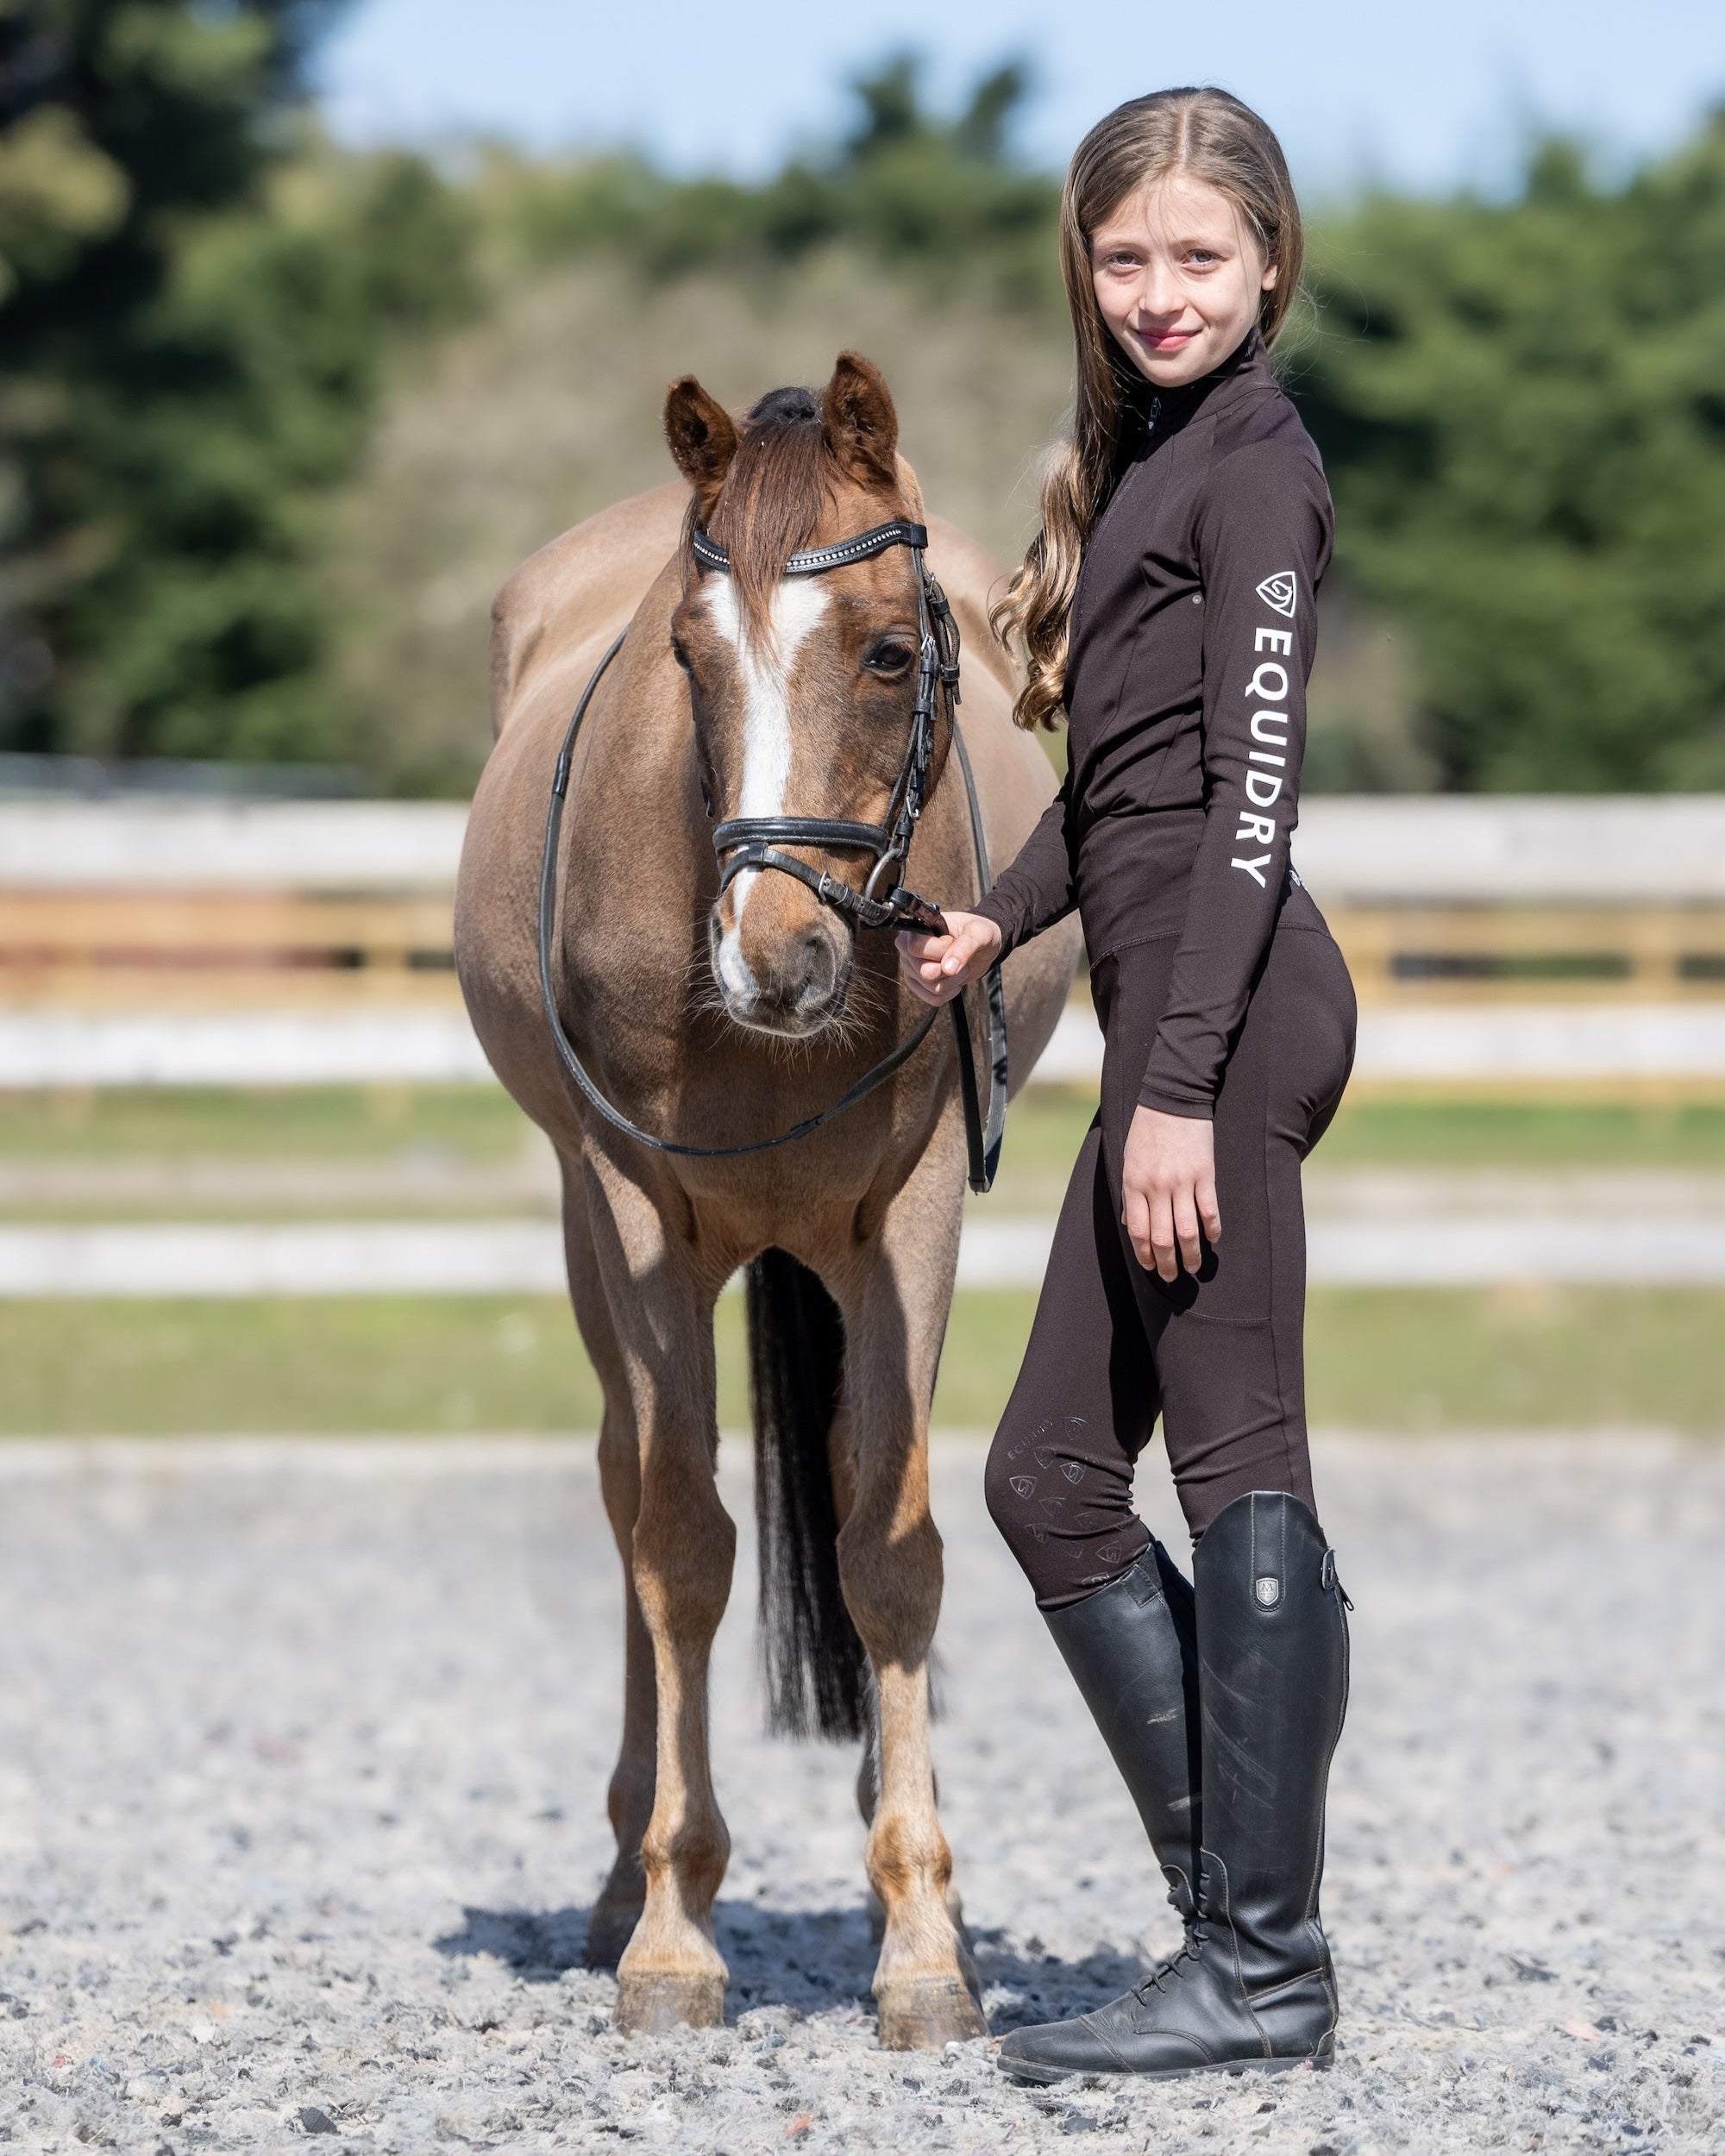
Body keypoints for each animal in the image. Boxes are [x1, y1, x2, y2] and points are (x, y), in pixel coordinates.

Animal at [454, 352, 1080, 2049]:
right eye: (687, 653)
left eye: (889, 650)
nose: (774, 956)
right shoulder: (637, 1215)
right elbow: (680, 1543)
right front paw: (674, 1935)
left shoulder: (913, 1212)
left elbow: (893, 1542)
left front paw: (923, 1939)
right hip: (589, 1236)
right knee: (630, 1489)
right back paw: (623, 1887)